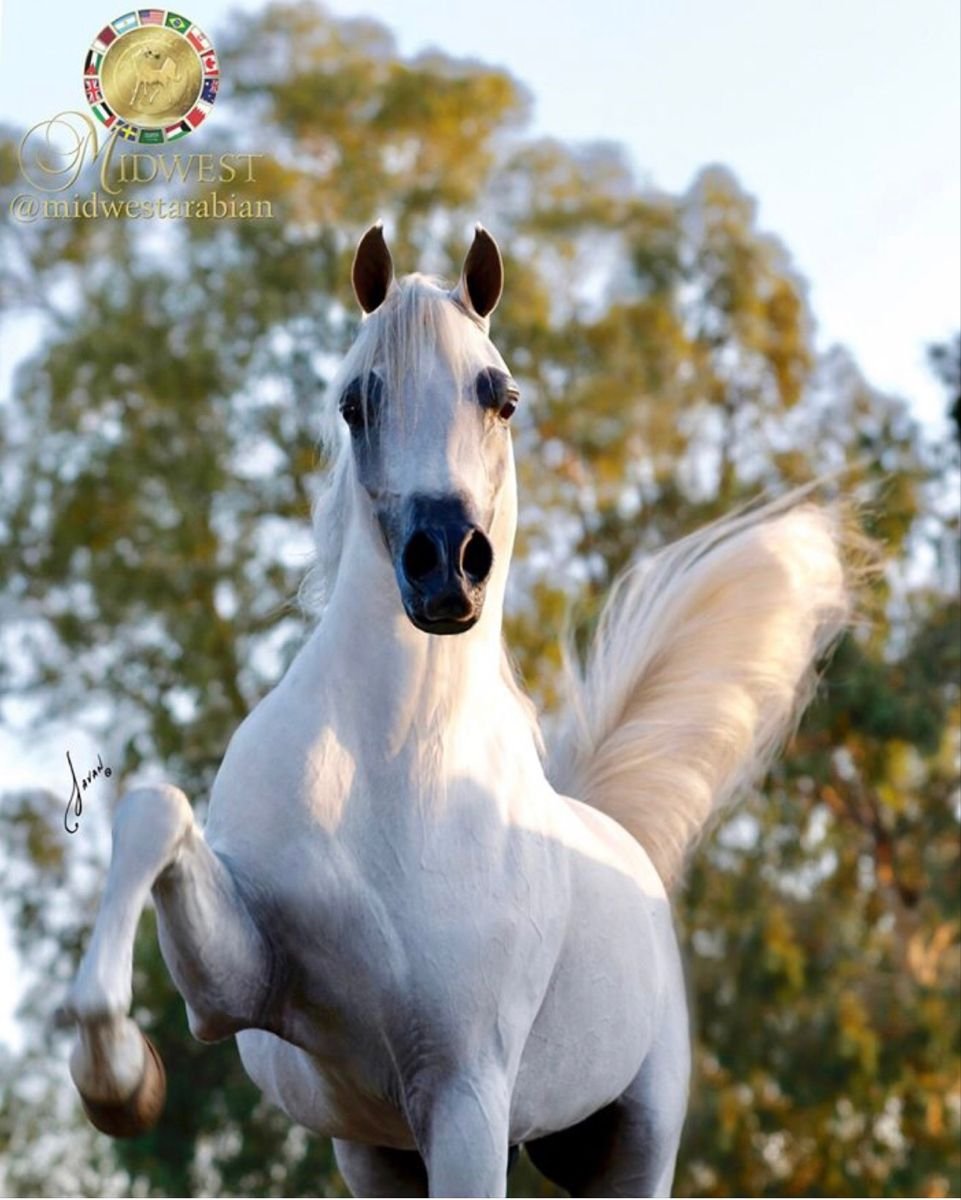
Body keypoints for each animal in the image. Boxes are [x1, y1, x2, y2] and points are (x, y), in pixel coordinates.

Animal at [61, 224, 851, 1197]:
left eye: (500, 396)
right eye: (355, 402)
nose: (445, 565)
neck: (394, 775)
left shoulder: (466, 1101)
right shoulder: (241, 988)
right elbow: (153, 812)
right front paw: (119, 1081)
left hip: (632, 1148)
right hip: (380, 1157)